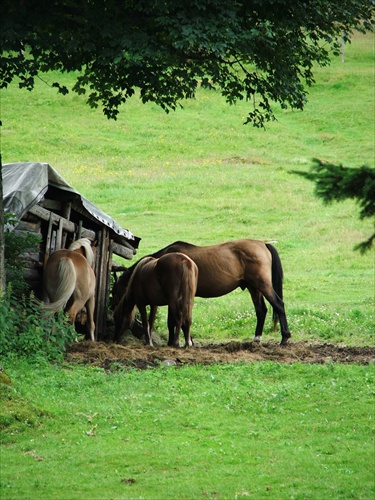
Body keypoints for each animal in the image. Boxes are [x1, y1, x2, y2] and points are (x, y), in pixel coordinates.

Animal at [113, 240, 292, 346]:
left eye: (115, 293)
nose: (114, 309)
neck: (157, 265)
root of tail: (263, 243)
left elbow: (174, 320)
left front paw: (177, 341)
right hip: (253, 287)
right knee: (261, 311)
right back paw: (257, 339)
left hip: (262, 284)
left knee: (278, 305)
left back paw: (284, 338)